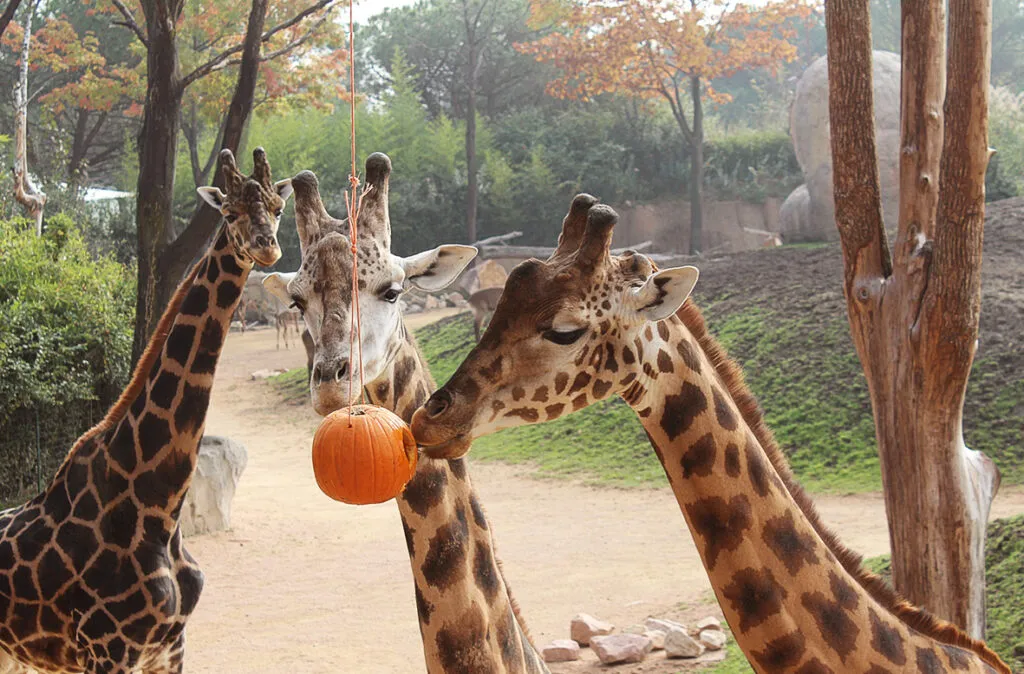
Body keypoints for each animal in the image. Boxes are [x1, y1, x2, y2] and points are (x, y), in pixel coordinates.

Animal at [0, 148, 294, 671]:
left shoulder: (169, 648)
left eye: (279, 209)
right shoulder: (106, 652)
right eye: (229, 212)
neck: (159, 509)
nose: (266, 249)